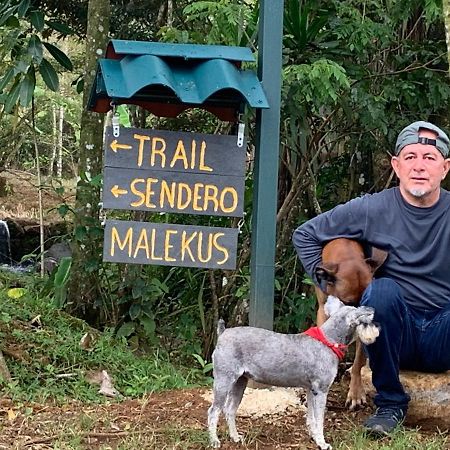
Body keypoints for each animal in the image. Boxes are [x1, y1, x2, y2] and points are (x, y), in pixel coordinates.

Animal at [209, 298, 378, 448]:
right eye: (365, 322)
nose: (377, 327)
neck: (328, 341)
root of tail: (223, 333)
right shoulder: (321, 391)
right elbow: (319, 420)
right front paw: (322, 443)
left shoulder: (311, 390)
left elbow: (311, 418)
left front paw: (314, 437)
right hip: (224, 381)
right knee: (214, 411)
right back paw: (214, 441)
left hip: (240, 382)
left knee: (230, 410)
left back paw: (235, 437)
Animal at [312, 237, 386, 410]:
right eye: (348, 302)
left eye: (366, 301)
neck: (346, 253)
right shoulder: (323, 311)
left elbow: (358, 361)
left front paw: (356, 394)